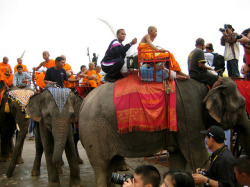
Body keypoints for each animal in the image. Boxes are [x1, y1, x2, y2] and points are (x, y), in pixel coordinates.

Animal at [79, 76, 250, 186]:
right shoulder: (190, 117)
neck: (209, 86)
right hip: (94, 132)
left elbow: (178, 158)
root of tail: (83, 102)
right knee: (101, 167)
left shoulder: (184, 124)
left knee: (110, 165)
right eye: (242, 105)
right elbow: (198, 157)